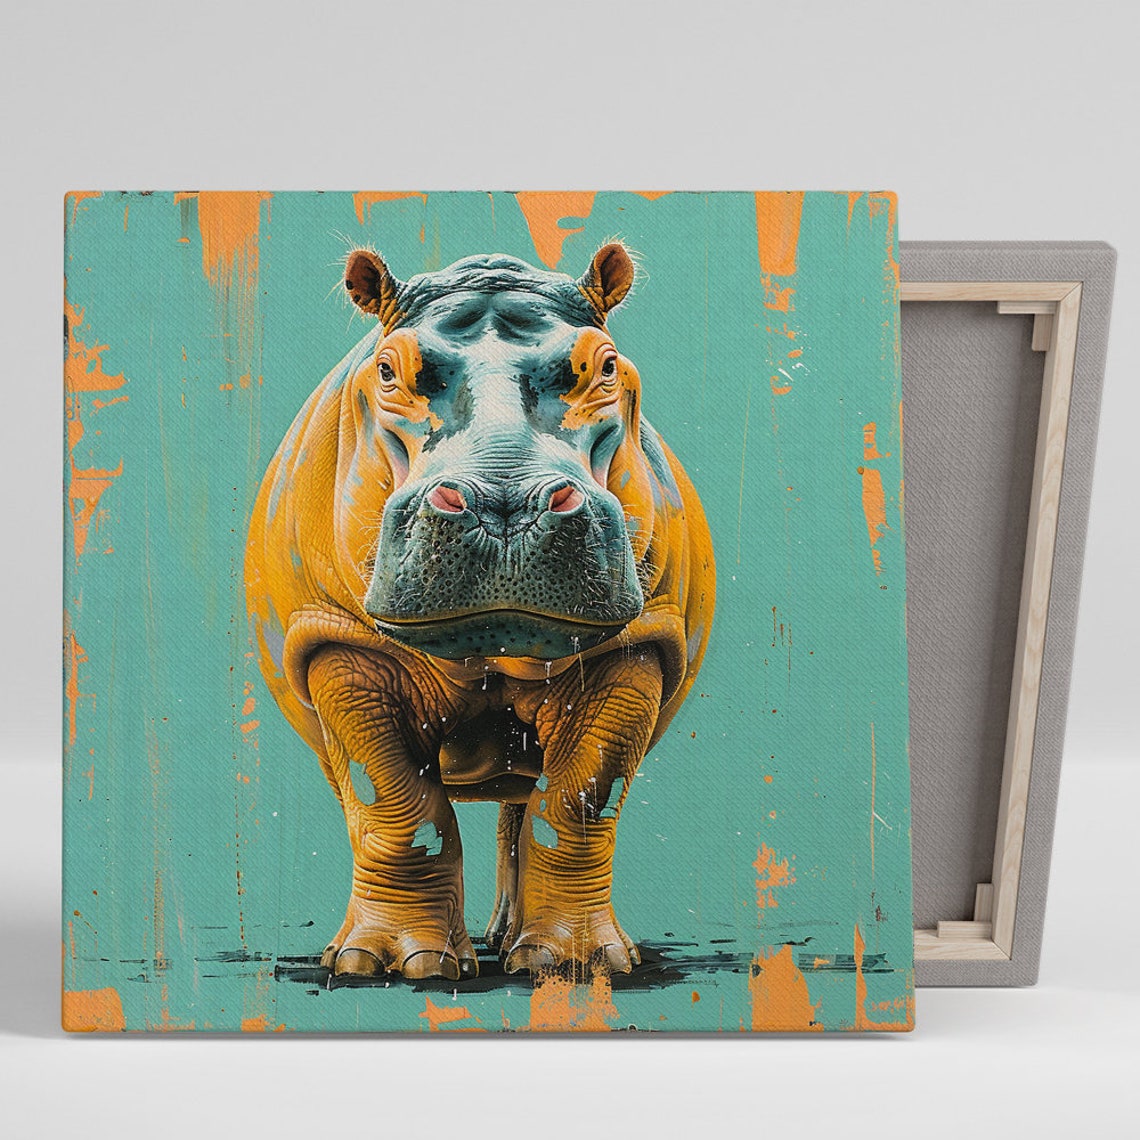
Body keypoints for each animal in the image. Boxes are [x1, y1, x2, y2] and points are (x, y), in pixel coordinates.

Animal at [244, 241, 715, 980]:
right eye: (388, 370)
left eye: (607, 366)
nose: (506, 502)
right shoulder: (340, 645)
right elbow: (397, 806)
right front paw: (388, 965)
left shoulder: (637, 646)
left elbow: (578, 800)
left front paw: (580, 965)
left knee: (523, 803)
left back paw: (516, 947)